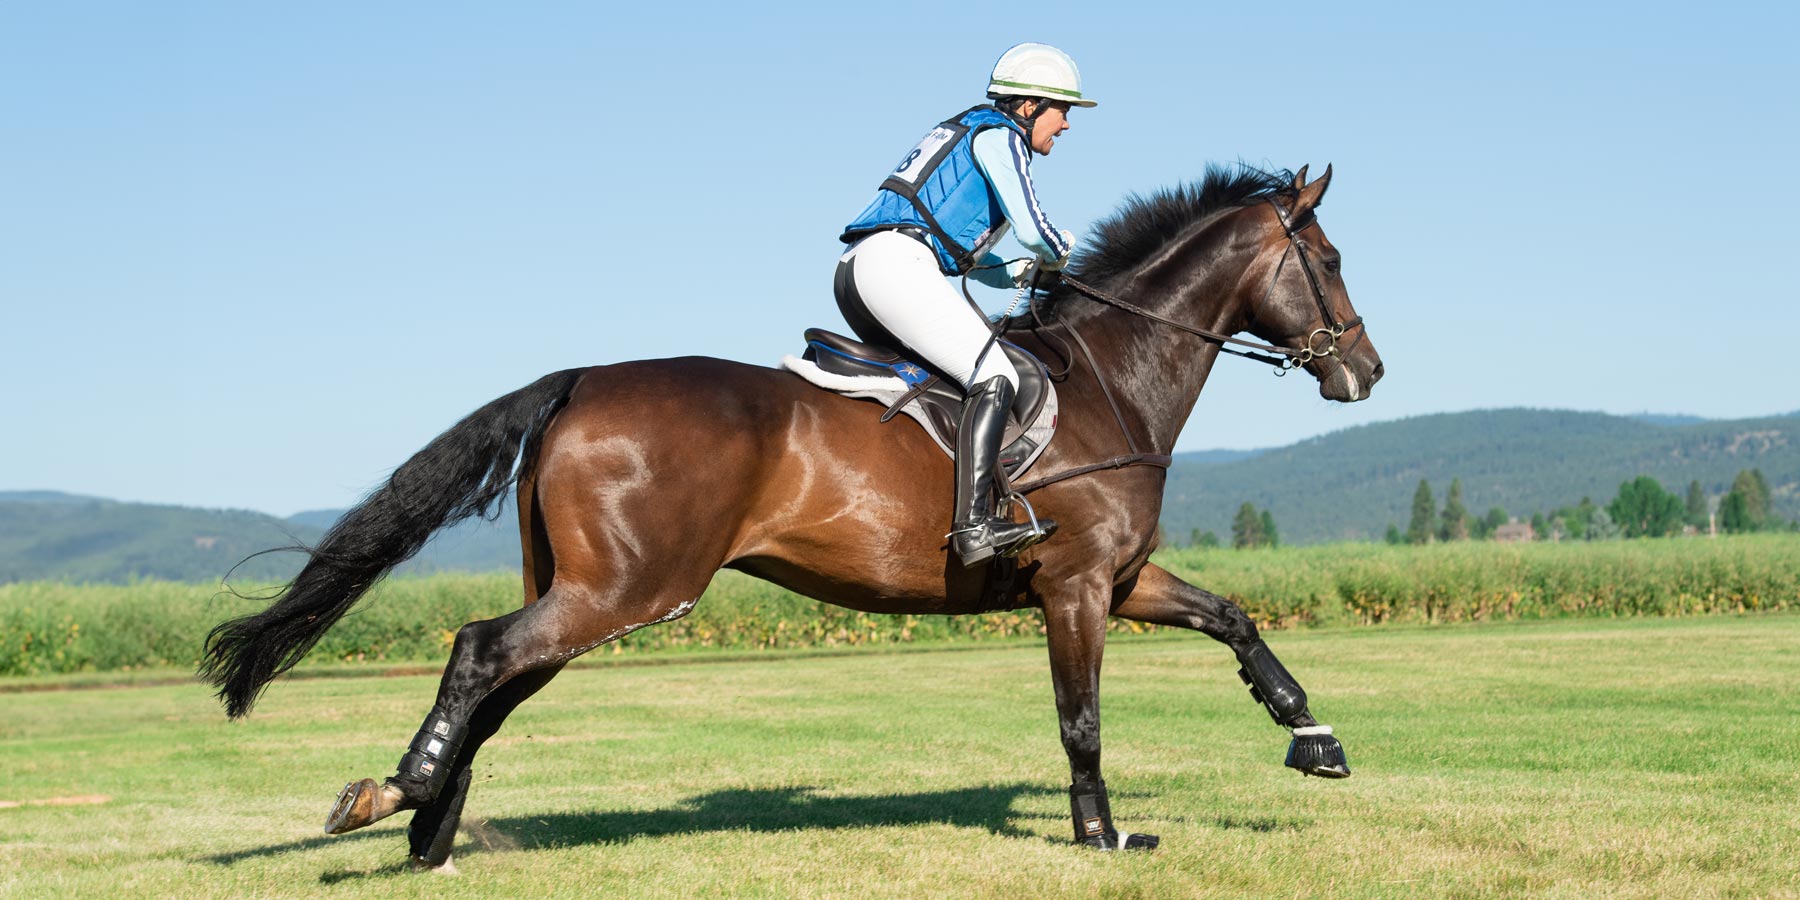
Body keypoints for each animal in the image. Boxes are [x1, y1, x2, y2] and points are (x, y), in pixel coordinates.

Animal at [200, 162, 1375, 864]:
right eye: (1327, 261)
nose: (1365, 371)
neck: (1112, 379)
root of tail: (579, 381)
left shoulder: (1122, 579)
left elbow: (1234, 619)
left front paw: (1313, 739)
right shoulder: (1077, 587)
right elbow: (1080, 717)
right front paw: (1104, 835)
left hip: (586, 584)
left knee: (498, 678)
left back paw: (431, 828)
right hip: (631, 586)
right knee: (480, 649)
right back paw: (397, 795)